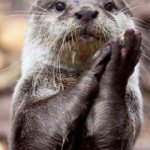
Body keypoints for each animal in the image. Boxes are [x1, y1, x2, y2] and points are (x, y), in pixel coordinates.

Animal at [9, 0, 143, 150]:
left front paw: (121, 52)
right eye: (59, 5)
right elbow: (36, 131)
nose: (86, 12)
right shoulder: (27, 99)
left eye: (109, 5)